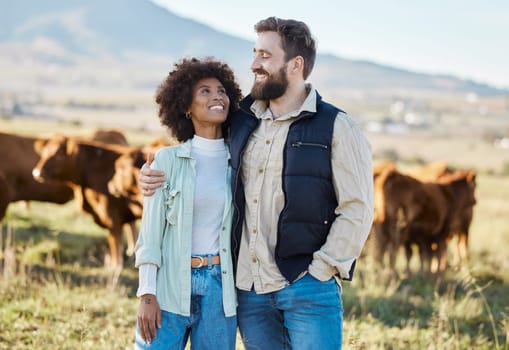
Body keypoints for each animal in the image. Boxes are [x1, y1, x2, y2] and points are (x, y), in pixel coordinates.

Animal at [32, 136, 144, 268]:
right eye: (44, 152)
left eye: (58, 153)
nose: (36, 173)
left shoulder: (112, 217)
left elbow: (115, 244)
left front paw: (115, 266)